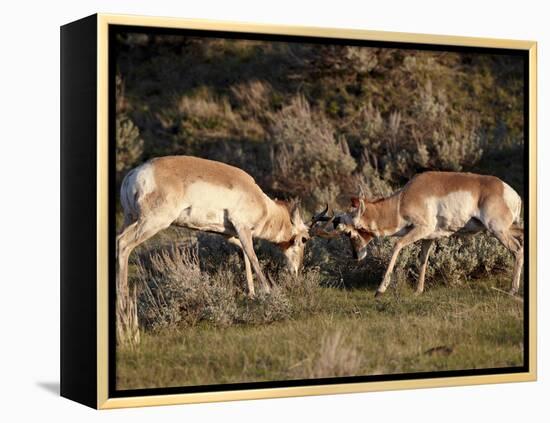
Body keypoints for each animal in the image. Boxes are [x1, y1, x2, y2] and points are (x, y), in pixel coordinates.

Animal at [118, 156, 322, 344]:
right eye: (304, 239)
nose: (296, 271)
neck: (262, 202)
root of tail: (133, 174)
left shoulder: (229, 234)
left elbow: (245, 254)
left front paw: (252, 294)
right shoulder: (242, 228)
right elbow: (254, 258)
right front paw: (268, 293)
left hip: (130, 219)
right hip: (152, 222)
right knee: (123, 243)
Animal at [312, 172, 524, 298]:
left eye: (349, 232)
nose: (357, 256)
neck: (402, 200)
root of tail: (511, 193)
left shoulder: (422, 229)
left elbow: (397, 246)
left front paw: (380, 290)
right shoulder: (428, 238)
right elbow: (423, 259)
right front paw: (418, 291)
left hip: (497, 230)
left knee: (517, 249)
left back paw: (512, 291)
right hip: (506, 228)